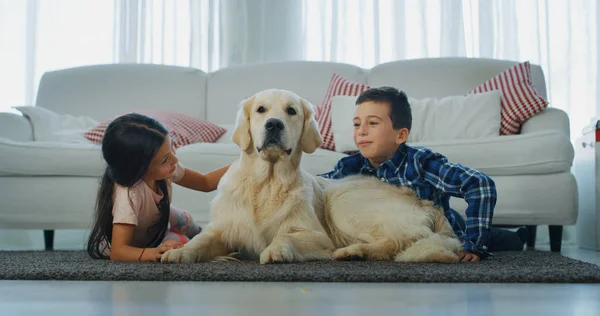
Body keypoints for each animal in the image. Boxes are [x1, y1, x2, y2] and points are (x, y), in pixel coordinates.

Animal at [162, 88, 462, 264]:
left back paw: (351, 251)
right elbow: (201, 240)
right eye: (261, 110)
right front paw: (179, 251)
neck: (266, 182)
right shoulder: (223, 228)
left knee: (402, 239)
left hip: (342, 200)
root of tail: (426, 203)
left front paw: (277, 250)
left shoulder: (318, 236)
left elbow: (286, 235)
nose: (274, 124)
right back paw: (356, 251)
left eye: (291, 111)